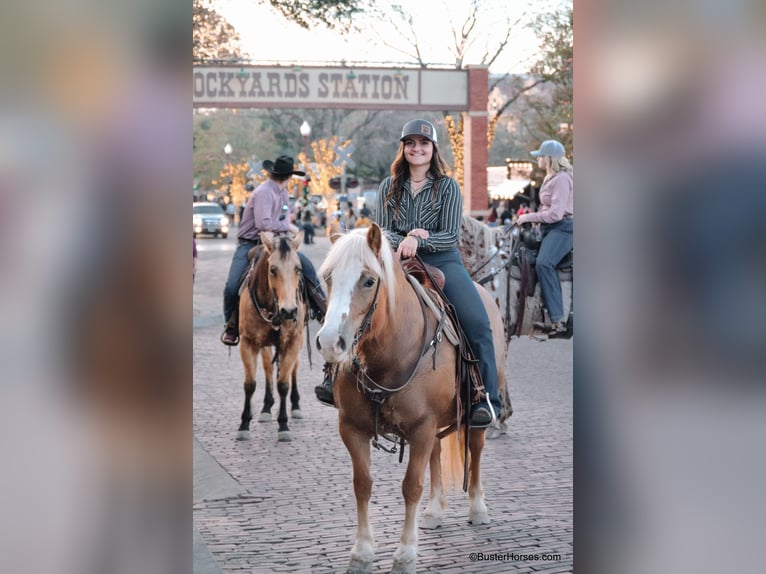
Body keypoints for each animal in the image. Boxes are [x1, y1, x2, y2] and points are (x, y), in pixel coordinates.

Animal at [237, 232, 306, 444]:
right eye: (273, 270)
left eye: (298, 269)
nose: (289, 311)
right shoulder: (248, 343)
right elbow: (250, 384)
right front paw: (244, 424)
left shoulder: (292, 341)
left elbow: (283, 383)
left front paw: (283, 426)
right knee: (268, 366)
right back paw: (267, 407)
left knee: (293, 369)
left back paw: (296, 406)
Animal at [316, 225, 508, 574]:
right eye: (328, 276)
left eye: (369, 280)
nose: (329, 341)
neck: (389, 353)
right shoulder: (352, 428)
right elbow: (362, 484)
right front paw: (362, 552)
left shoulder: (421, 427)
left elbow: (411, 486)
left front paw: (405, 554)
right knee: (436, 453)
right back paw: (433, 511)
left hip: (474, 415)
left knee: (475, 450)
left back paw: (477, 508)